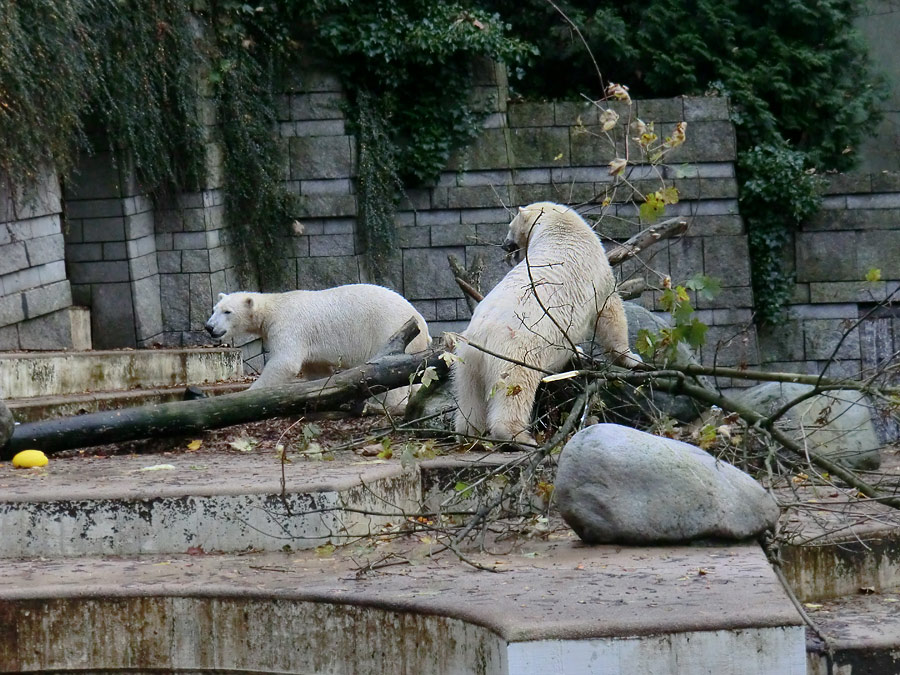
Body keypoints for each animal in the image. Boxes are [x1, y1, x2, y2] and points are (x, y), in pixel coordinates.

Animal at [206, 284, 430, 390]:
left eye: (227, 312)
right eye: (214, 309)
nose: (209, 327)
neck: (273, 307)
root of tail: (422, 323)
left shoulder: (289, 327)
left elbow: (285, 363)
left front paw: (250, 392)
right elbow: (316, 369)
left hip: (388, 330)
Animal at [454, 206, 644, 448]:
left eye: (509, 227)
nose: (505, 245)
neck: (558, 229)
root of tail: (482, 333)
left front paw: (578, 351)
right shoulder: (599, 272)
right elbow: (609, 311)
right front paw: (631, 358)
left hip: (466, 358)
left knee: (470, 392)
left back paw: (469, 432)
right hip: (517, 348)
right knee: (517, 387)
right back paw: (521, 437)